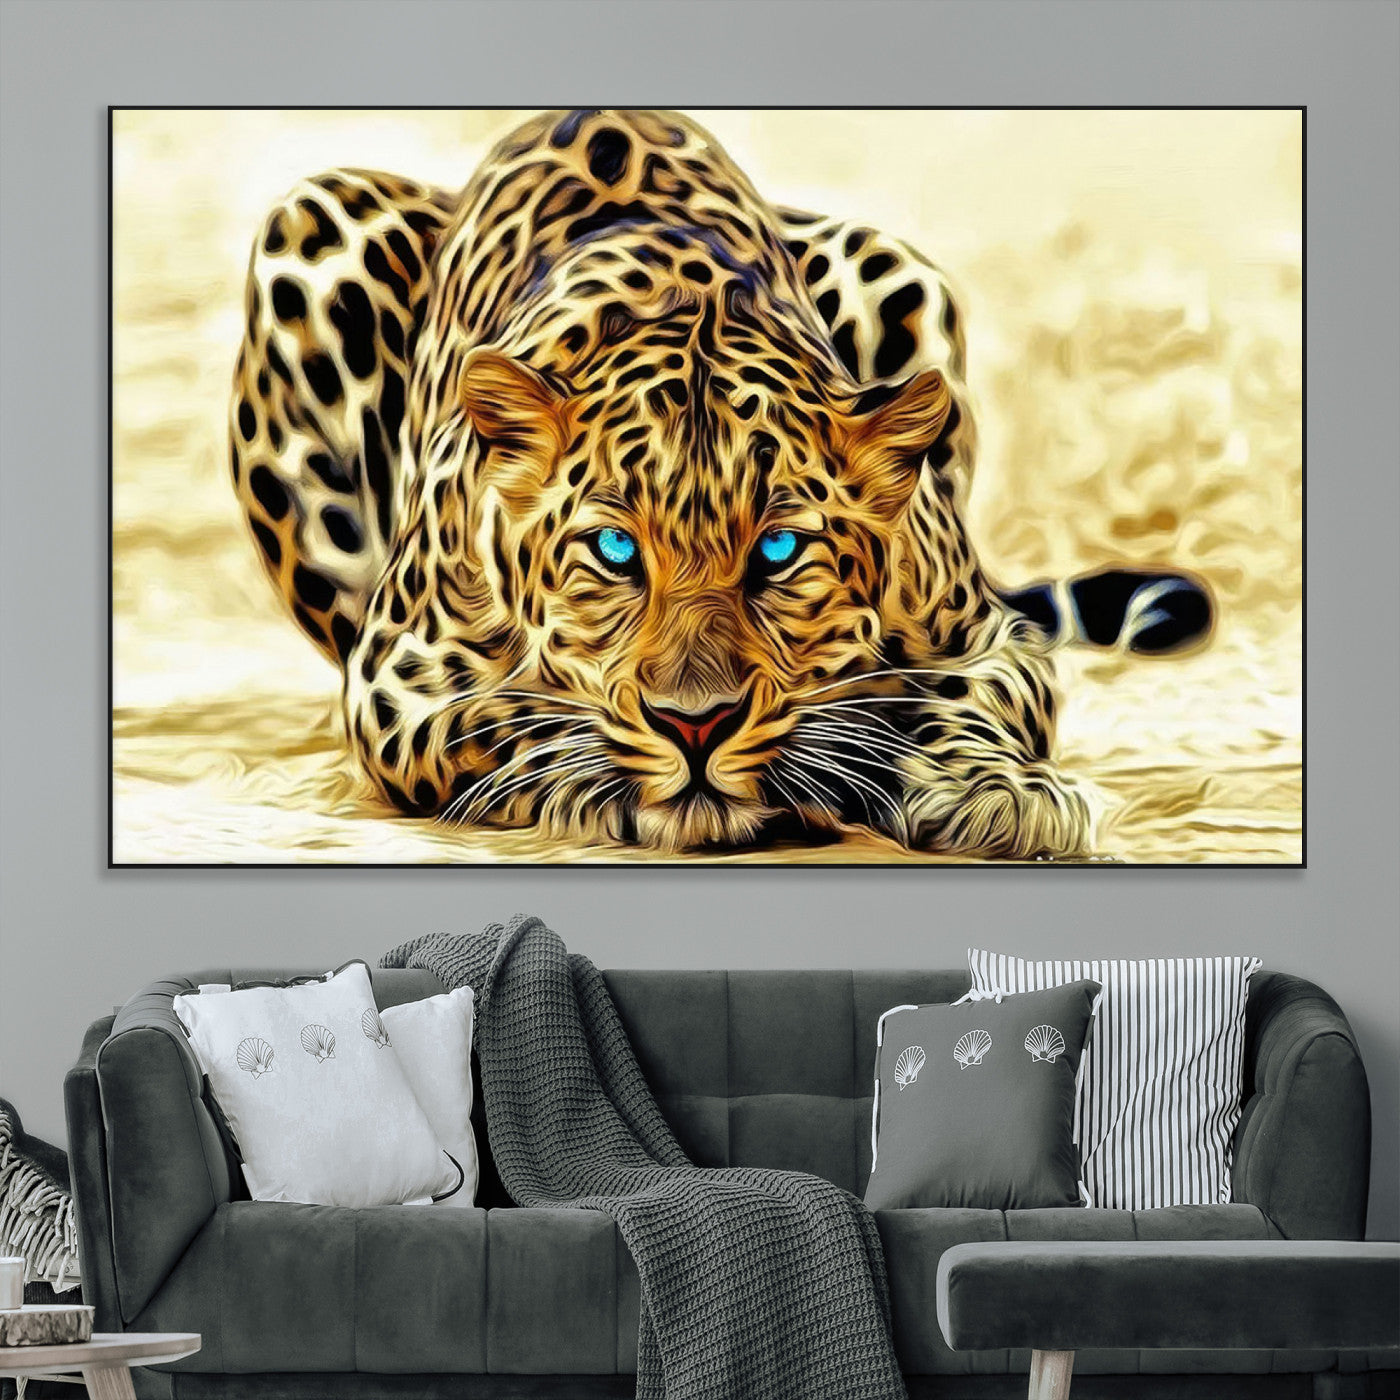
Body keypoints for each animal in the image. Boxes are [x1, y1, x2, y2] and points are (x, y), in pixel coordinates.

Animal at [228, 108, 1212, 858]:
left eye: (778, 550)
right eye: (614, 549)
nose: (695, 726)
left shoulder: (985, 635)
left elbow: (977, 700)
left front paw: (996, 792)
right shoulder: (400, 677)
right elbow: (513, 720)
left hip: (895, 266)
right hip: (310, 224)